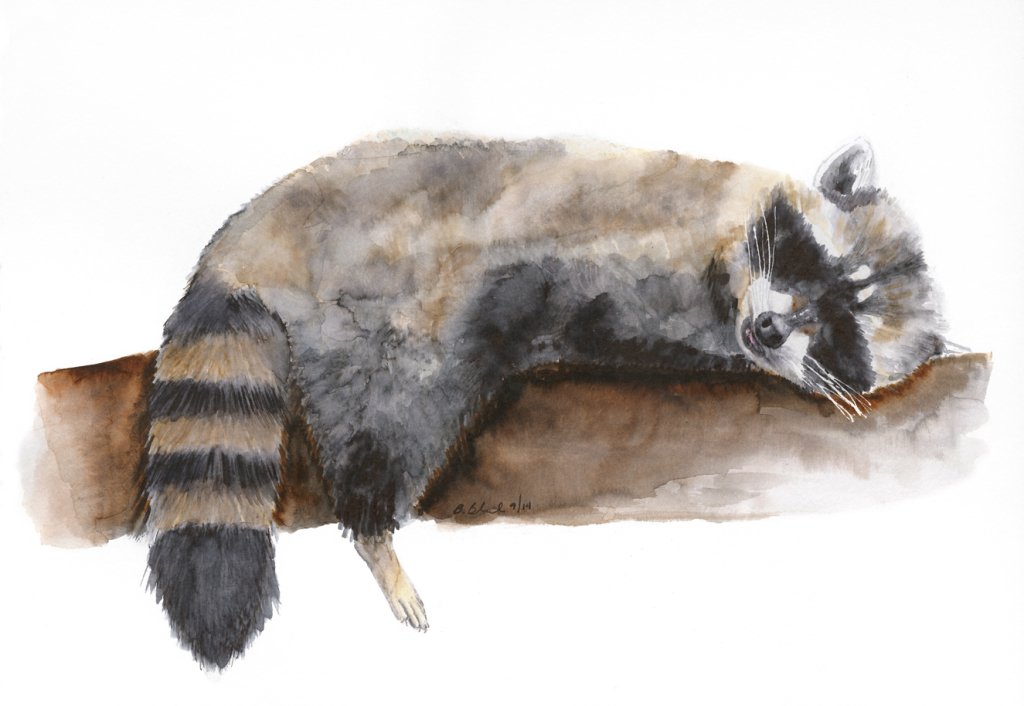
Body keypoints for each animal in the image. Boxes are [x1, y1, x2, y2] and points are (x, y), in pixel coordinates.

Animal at [142, 135, 945, 668]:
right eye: (806, 258)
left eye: (842, 330)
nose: (773, 329)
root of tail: (262, 225)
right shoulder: (662, 241)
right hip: (379, 313)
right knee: (400, 413)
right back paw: (373, 529)